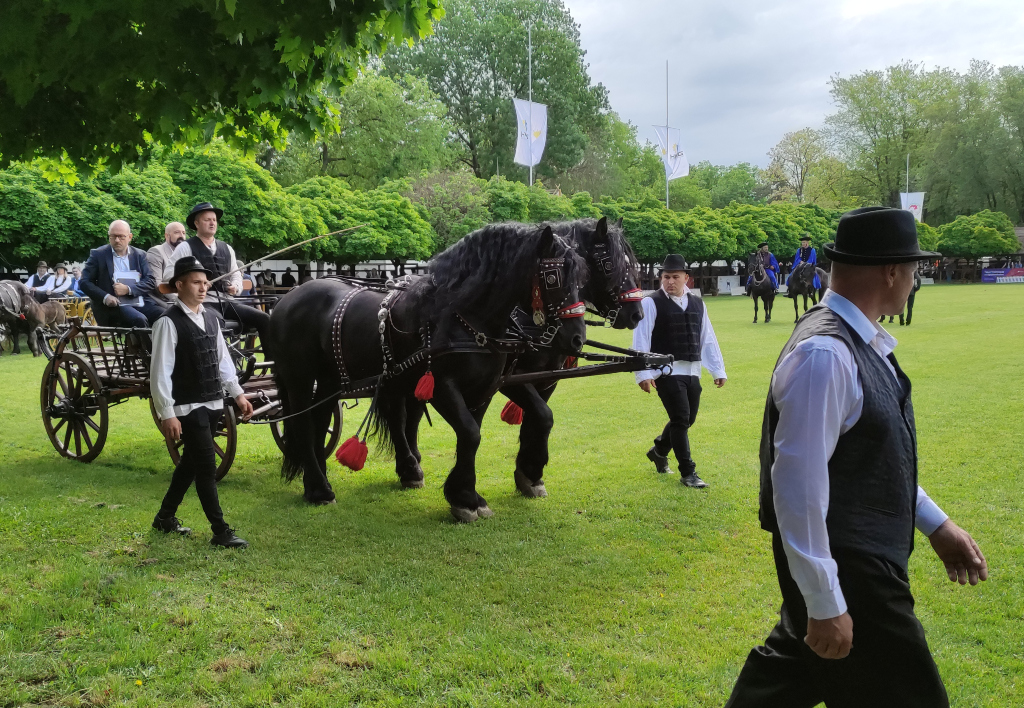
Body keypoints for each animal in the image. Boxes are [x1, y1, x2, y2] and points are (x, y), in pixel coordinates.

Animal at [268, 221, 589, 520]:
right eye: (552, 277)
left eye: (581, 279)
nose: (577, 338)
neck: (464, 317)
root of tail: (287, 296)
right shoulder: (442, 388)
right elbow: (470, 434)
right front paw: (464, 499)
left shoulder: (485, 388)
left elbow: (476, 434)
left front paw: (473, 494)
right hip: (299, 378)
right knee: (303, 424)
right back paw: (319, 489)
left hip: (330, 379)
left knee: (321, 420)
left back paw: (319, 482)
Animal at [403, 216, 643, 497]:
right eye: (608, 265)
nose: (637, 314)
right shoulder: (513, 378)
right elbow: (541, 415)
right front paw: (530, 469)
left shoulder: (547, 379)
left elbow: (539, 418)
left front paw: (529, 473)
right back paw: (410, 466)